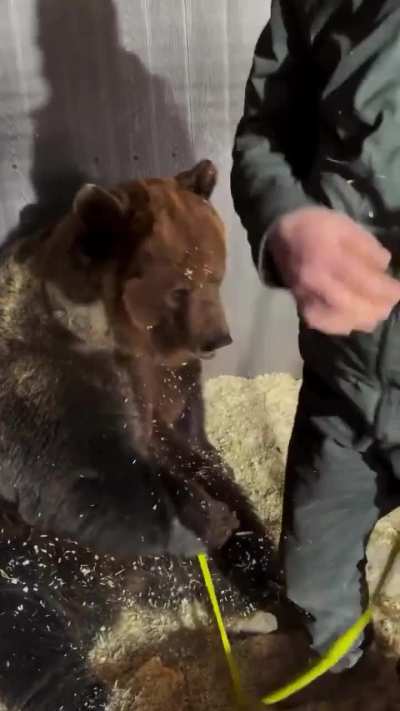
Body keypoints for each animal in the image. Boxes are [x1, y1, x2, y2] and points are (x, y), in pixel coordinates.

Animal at [0, 160, 278, 710]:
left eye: (216, 274)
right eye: (178, 288)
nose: (217, 338)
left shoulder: (165, 391)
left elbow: (196, 454)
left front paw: (244, 533)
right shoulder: (47, 376)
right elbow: (82, 475)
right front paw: (210, 517)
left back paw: (254, 607)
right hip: (22, 564)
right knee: (35, 642)